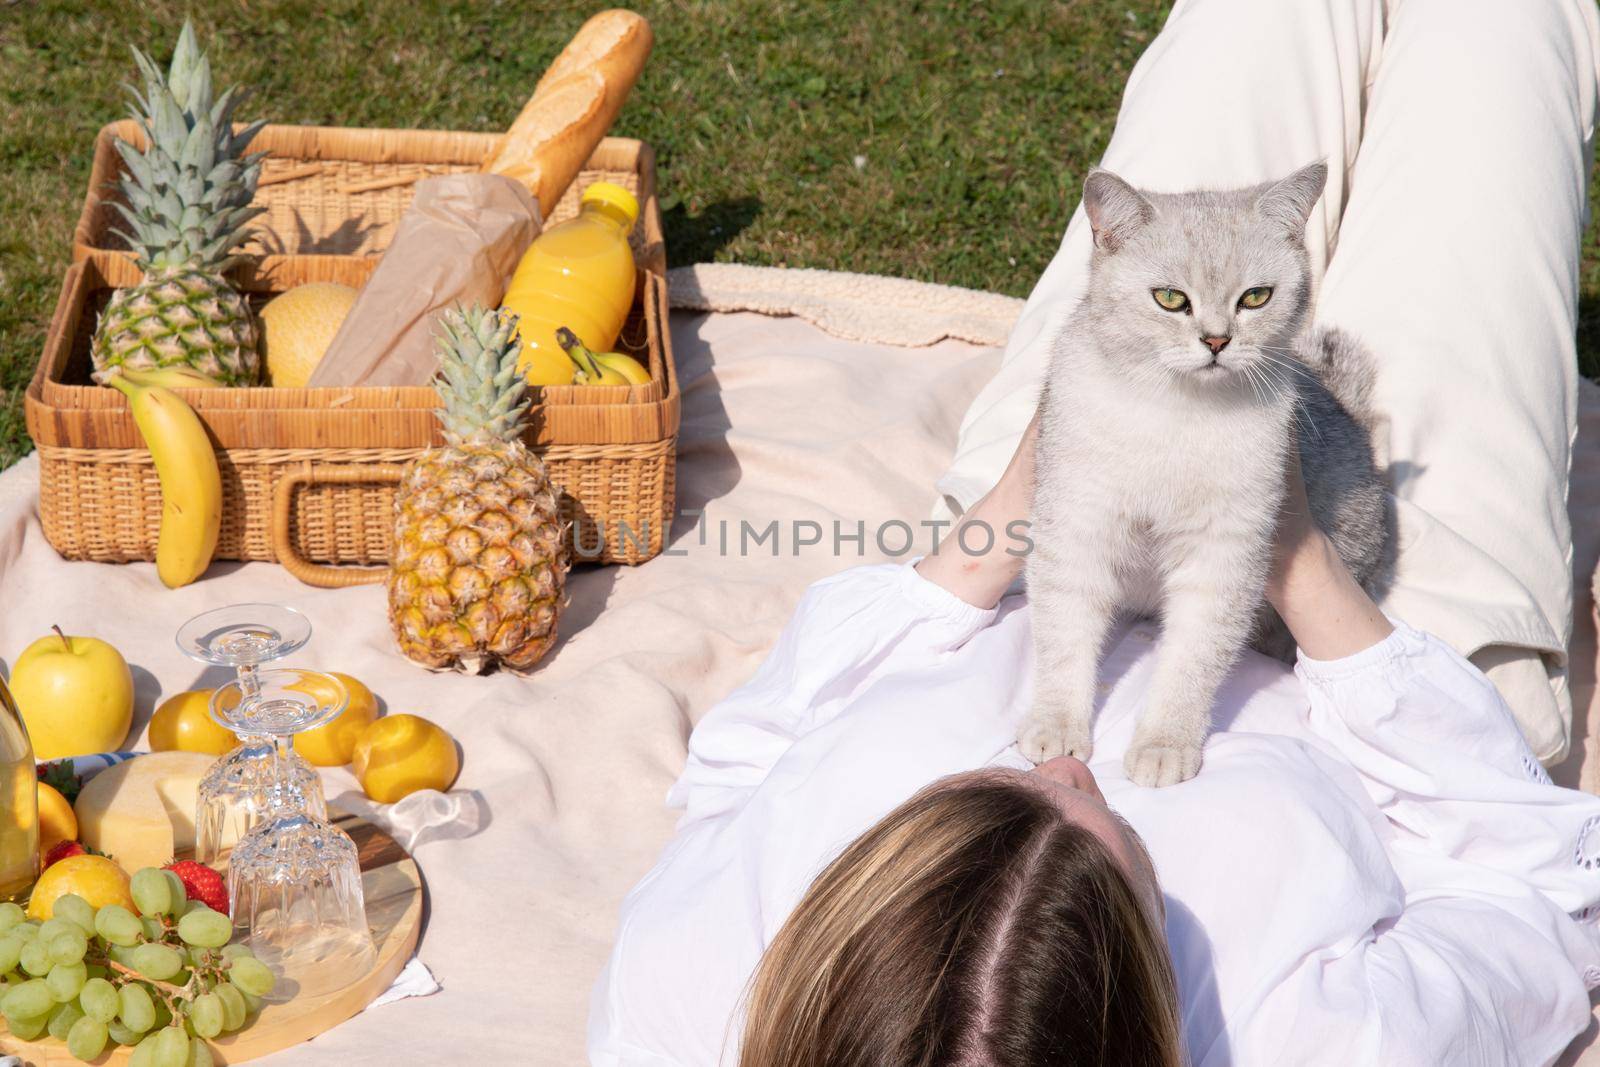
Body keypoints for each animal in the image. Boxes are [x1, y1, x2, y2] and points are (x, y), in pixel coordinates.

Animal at [1024, 163, 1388, 790]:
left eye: (1256, 297)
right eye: (1170, 299)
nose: (1217, 340)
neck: (1177, 413)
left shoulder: (1224, 554)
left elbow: (1192, 661)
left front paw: (1165, 742)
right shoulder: (1074, 526)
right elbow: (1062, 635)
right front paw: (1056, 724)